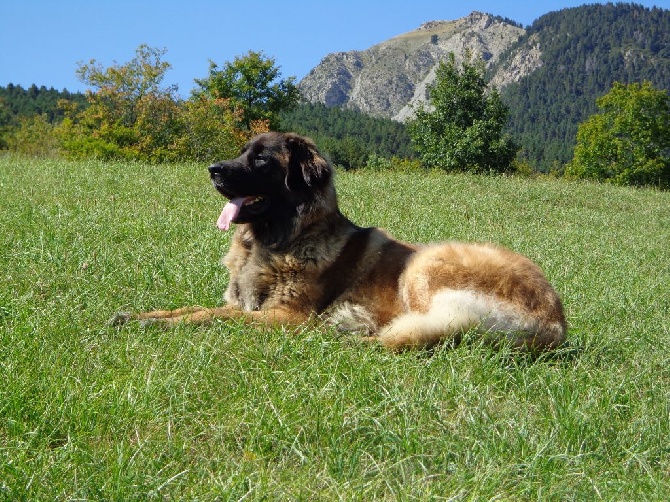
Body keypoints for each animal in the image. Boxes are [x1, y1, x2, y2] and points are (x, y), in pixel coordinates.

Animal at [114, 131, 568, 352]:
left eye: (260, 159)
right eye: (242, 152)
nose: (213, 169)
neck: (277, 240)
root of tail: (556, 321)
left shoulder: (287, 316)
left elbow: (210, 317)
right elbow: (190, 309)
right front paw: (141, 316)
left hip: (426, 266)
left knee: (406, 337)